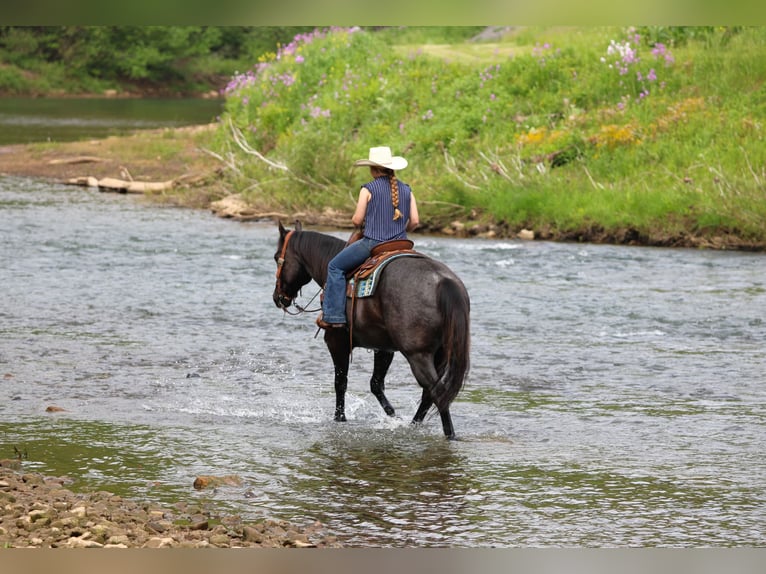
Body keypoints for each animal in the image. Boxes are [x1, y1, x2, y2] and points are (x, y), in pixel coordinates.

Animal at [272, 221, 470, 439]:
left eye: (276, 257)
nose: (277, 297)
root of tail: (443, 281)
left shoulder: (336, 341)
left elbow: (340, 382)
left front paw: (340, 419)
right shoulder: (383, 348)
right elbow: (375, 384)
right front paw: (392, 414)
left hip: (418, 355)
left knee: (437, 392)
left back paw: (449, 434)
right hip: (441, 354)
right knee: (430, 393)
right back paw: (413, 425)